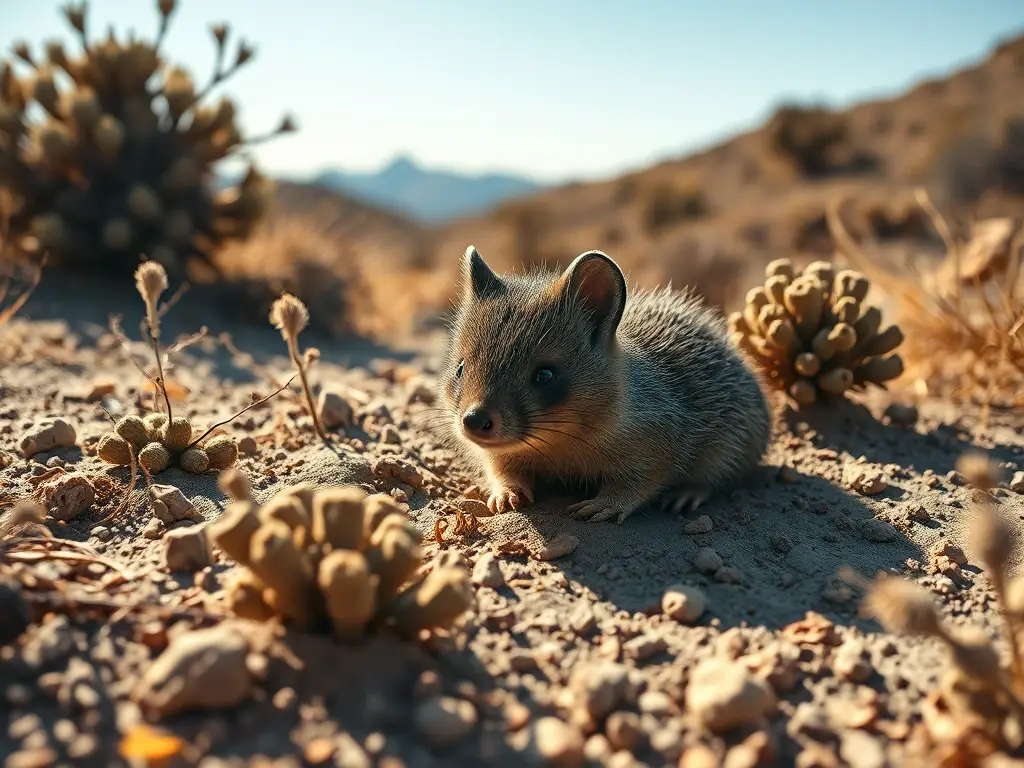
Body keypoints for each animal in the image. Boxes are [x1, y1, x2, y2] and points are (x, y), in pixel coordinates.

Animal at [437, 245, 773, 525]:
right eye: (461, 368)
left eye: (545, 375)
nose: (474, 421)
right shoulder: (499, 455)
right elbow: (502, 468)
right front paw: (506, 492)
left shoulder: (660, 450)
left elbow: (636, 484)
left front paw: (605, 503)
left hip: (727, 452)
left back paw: (687, 494)